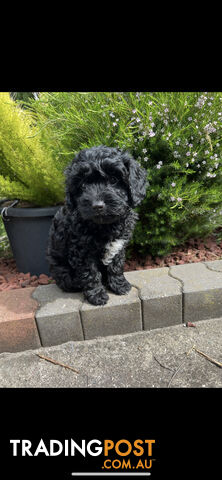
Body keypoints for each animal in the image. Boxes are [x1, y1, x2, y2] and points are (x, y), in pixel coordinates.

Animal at [46, 144, 147, 306]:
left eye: (113, 179)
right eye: (82, 185)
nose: (97, 205)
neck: (105, 225)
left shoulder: (119, 246)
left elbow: (116, 266)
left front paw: (120, 285)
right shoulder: (81, 251)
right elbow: (91, 273)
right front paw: (97, 295)